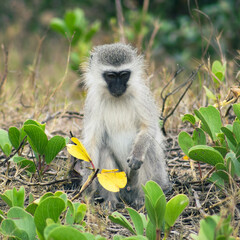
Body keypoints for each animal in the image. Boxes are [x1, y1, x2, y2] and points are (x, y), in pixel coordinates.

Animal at [81, 42, 172, 208]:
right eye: (111, 76)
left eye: (124, 75)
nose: (118, 88)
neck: (117, 98)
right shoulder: (93, 100)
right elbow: (93, 141)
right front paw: (87, 186)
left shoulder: (141, 94)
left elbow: (148, 127)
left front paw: (136, 155)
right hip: (122, 183)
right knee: (104, 150)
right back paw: (111, 201)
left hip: (155, 179)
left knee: (149, 148)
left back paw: (142, 198)